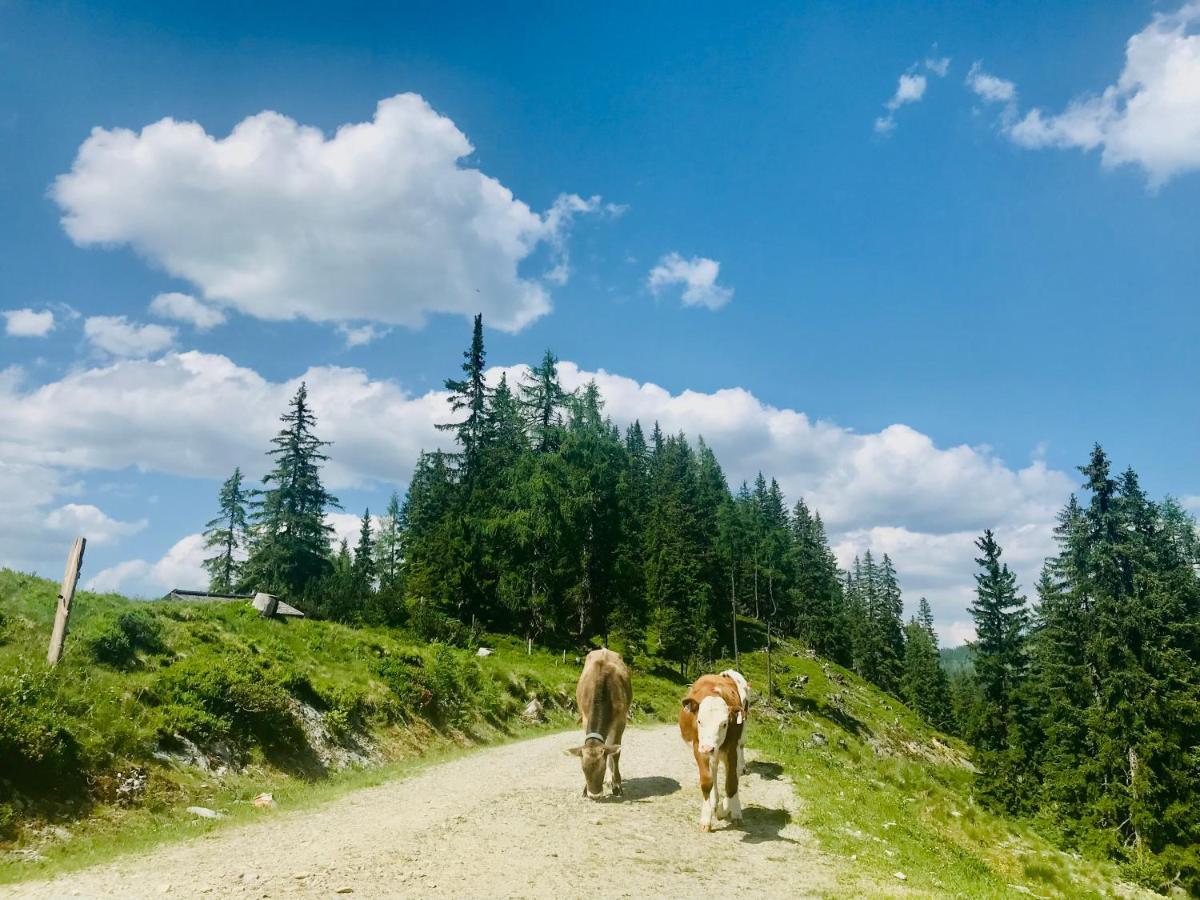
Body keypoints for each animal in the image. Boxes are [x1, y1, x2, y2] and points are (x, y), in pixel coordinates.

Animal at [566, 652, 633, 801]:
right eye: (583, 769)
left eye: (601, 769)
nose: (594, 795)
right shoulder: (585, 718)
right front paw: (585, 789)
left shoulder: (620, 721)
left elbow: (615, 754)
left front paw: (616, 785)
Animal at [681, 672, 744, 835]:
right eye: (699, 721)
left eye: (724, 724)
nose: (708, 748)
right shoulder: (698, 747)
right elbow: (707, 781)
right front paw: (706, 818)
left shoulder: (731, 749)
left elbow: (731, 783)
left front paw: (724, 811)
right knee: (714, 771)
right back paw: (714, 802)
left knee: (733, 774)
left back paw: (735, 811)